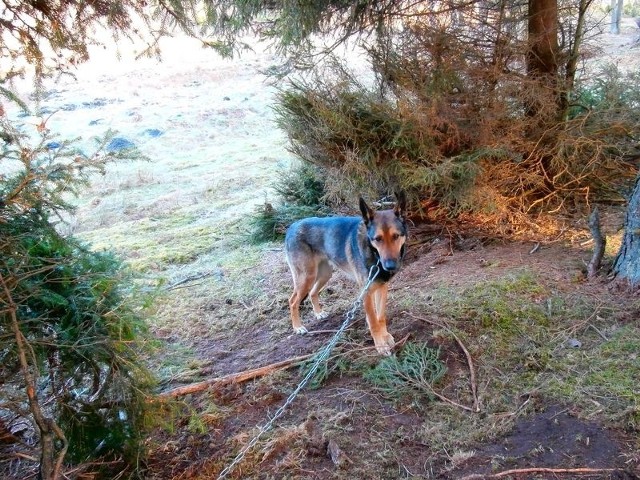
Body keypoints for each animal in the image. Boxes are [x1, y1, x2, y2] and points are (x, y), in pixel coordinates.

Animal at [284, 192, 408, 356]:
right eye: (377, 239)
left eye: (396, 236)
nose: (390, 266)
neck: (374, 254)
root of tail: (292, 227)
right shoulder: (366, 293)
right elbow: (373, 321)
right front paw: (380, 345)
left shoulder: (382, 287)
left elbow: (380, 317)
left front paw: (386, 336)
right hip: (306, 277)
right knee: (292, 301)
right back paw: (298, 327)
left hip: (324, 275)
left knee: (312, 293)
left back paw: (318, 313)